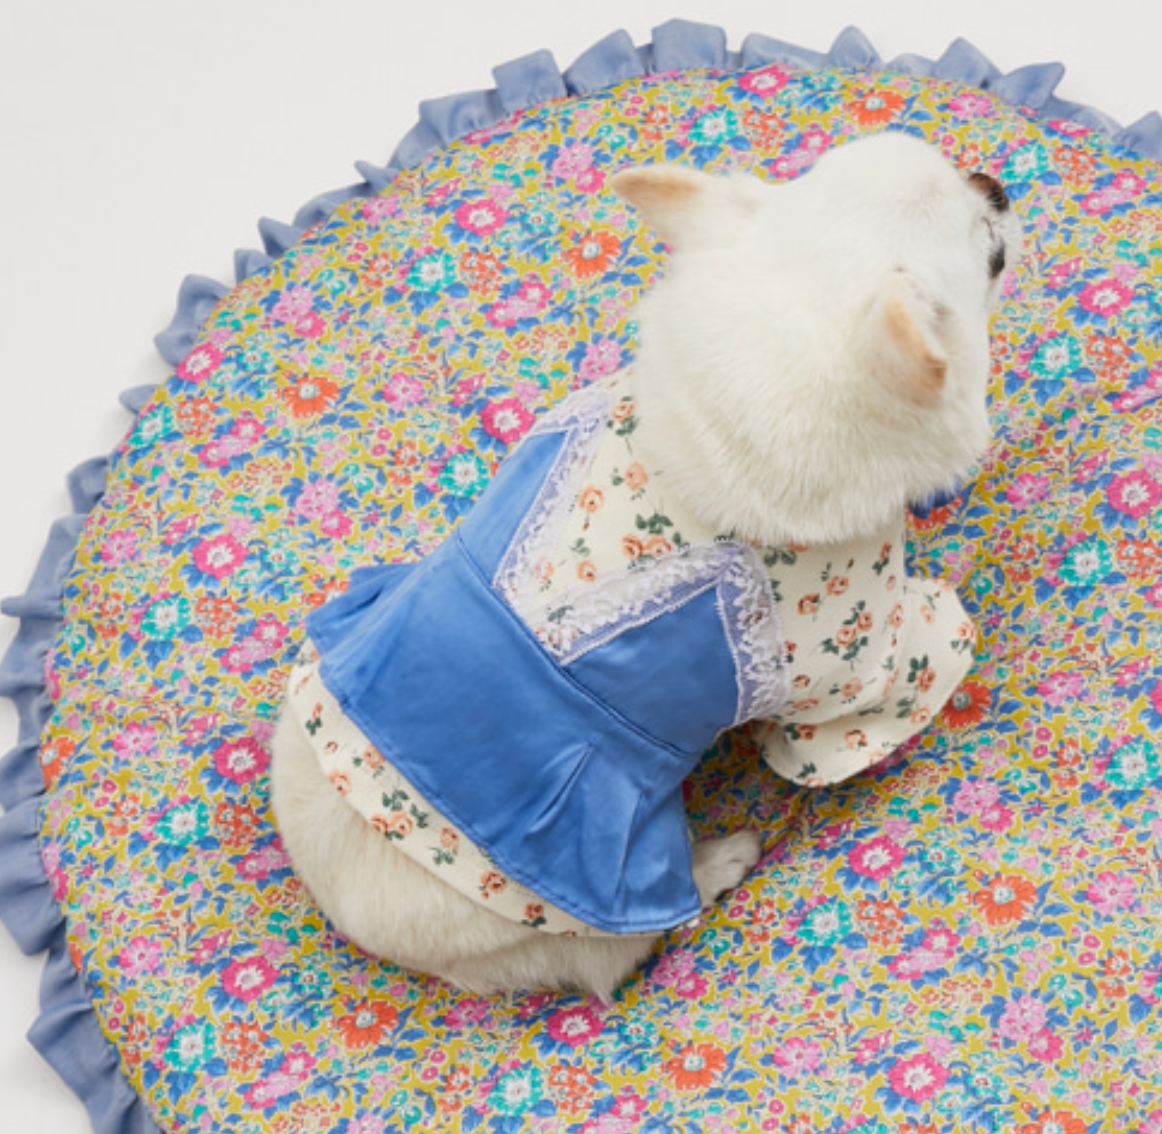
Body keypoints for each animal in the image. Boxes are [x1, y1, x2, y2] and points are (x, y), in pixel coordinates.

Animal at [269, 131, 1022, 999]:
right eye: (987, 244)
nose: (994, 182)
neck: (699, 440)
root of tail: (354, 921)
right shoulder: (849, 668)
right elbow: (905, 670)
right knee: (630, 940)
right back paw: (721, 860)